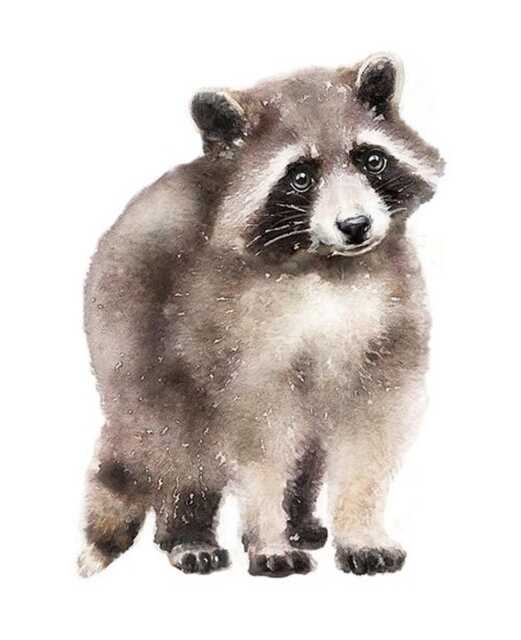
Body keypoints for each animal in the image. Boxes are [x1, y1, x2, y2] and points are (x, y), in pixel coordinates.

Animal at [78, 54, 443, 578]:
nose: (356, 226)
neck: (328, 265)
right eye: (300, 177)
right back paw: (186, 530)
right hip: (132, 341)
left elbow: (370, 432)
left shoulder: (390, 320)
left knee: (306, 449)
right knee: (176, 444)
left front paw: (360, 529)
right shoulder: (240, 339)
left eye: (370, 160)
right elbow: (260, 444)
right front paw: (267, 537)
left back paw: (300, 518)